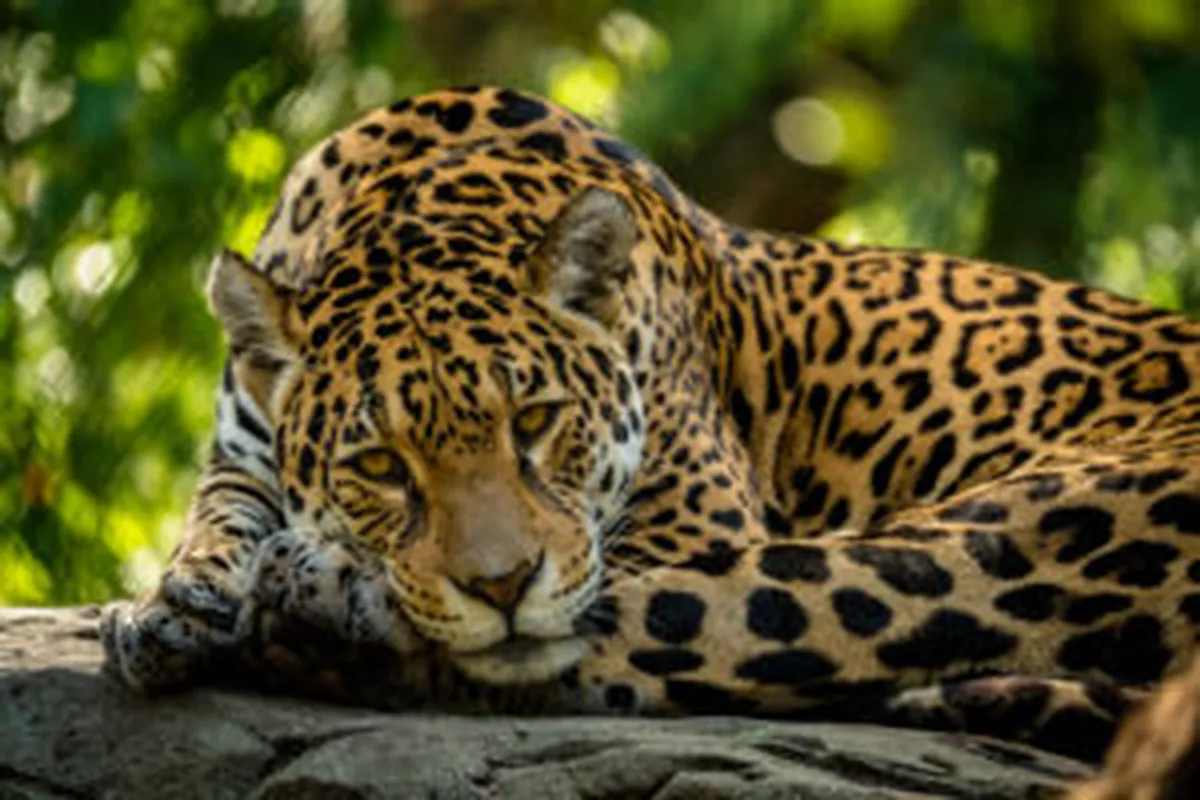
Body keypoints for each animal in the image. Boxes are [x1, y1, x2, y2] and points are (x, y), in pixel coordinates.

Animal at [100, 86, 1200, 783]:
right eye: (379, 464)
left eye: (537, 421)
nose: (501, 584)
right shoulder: (240, 445)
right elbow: (220, 511)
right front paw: (172, 604)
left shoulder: (693, 519)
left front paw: (271, 586)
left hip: (1029, 524)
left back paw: (319, 605)